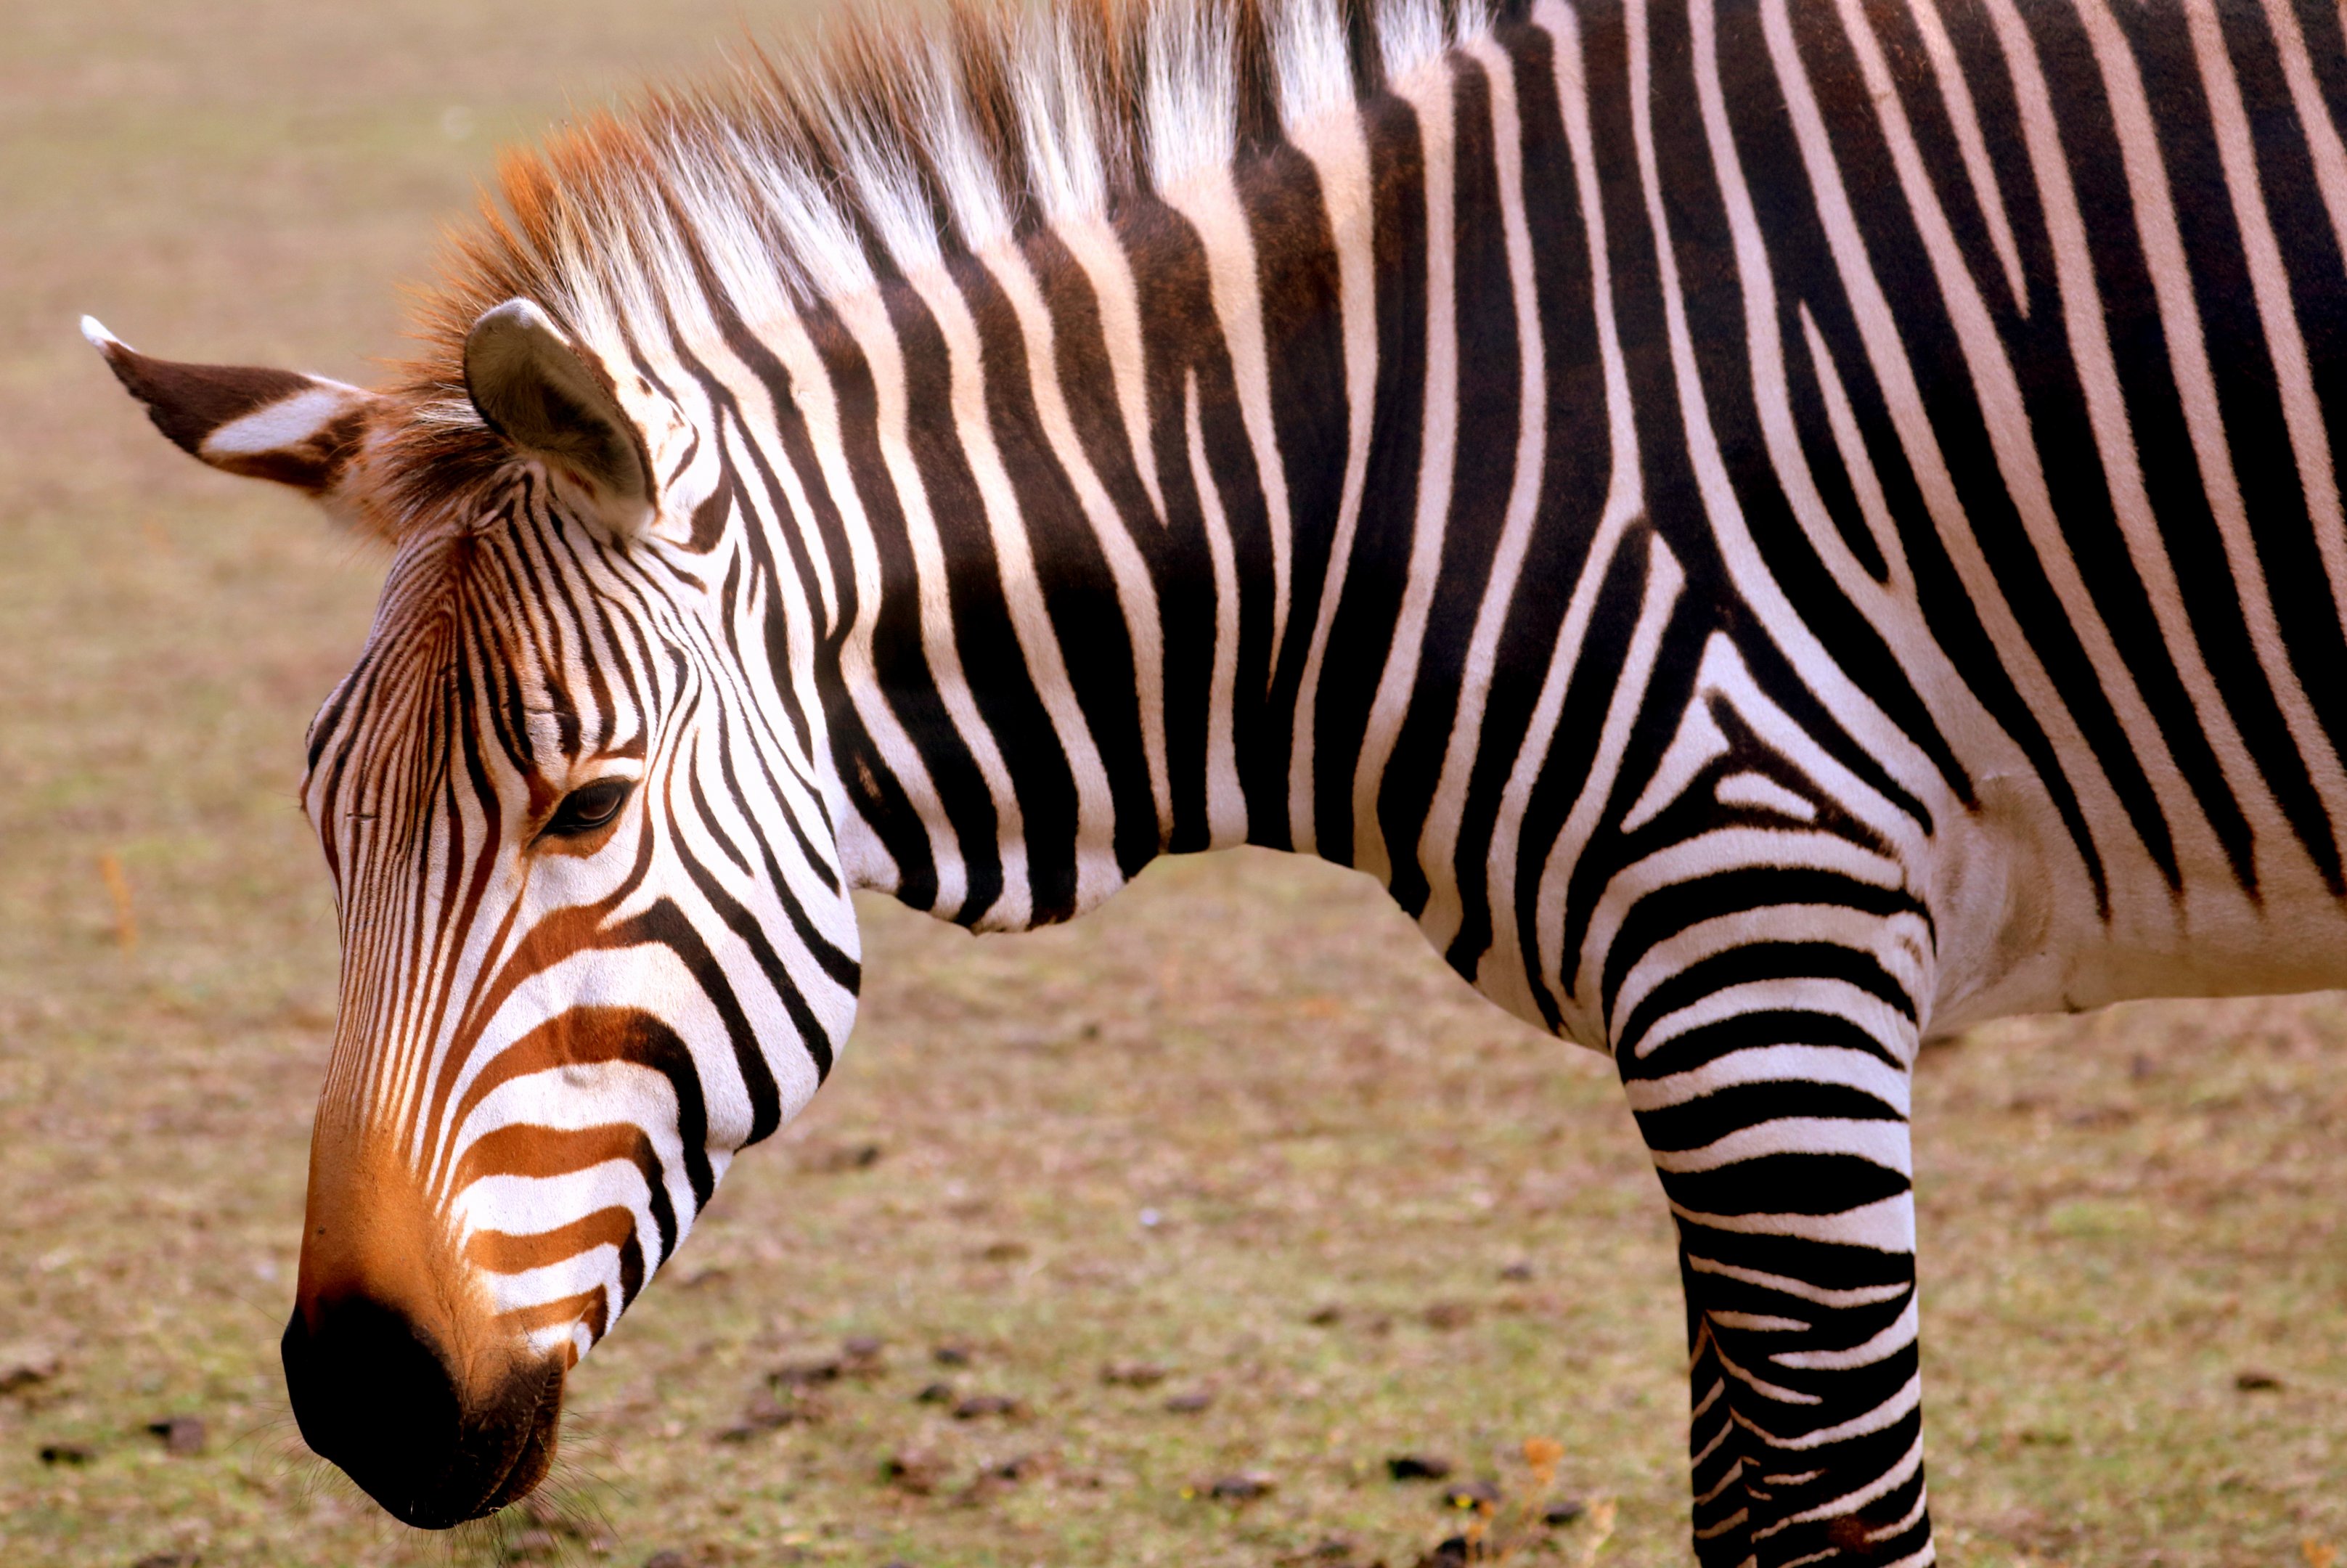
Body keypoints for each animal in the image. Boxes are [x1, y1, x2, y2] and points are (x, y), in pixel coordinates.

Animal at [85, 0, 2347, 1556]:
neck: (1398, 464)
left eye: (587, 808)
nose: (357, 1397)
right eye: (322, 833)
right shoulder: (1725, 1017)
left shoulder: (1765, 950)